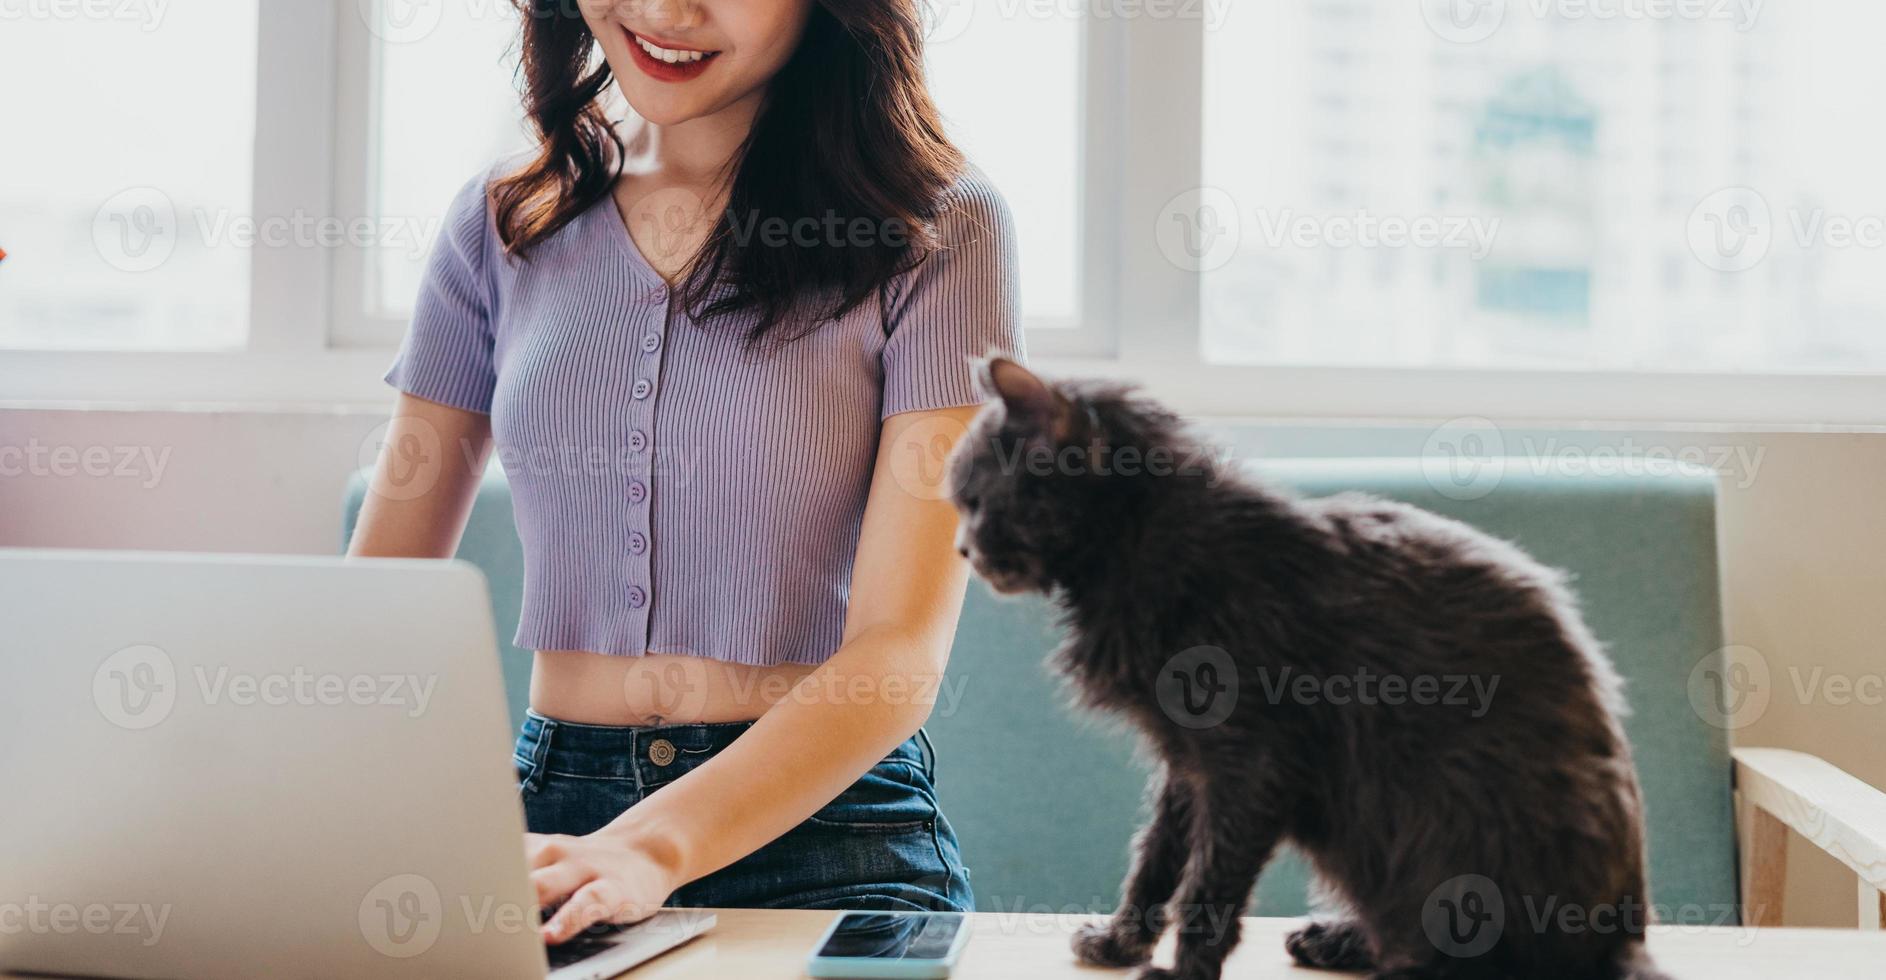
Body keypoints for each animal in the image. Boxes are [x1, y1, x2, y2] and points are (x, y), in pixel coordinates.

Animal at [943, 359, 1667, 980]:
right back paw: (1338, 938)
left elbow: (1207, 887)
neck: (1141, 554)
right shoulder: (1187, 763)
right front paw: (1121, 941)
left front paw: (1182, 971)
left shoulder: (1252, 763)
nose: (961, 549)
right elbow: (1156, 857)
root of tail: (1622, 937)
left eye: (976, 501)